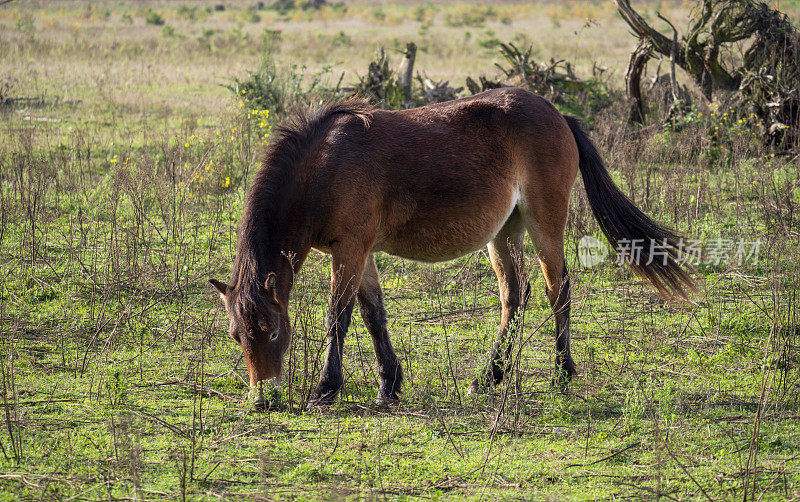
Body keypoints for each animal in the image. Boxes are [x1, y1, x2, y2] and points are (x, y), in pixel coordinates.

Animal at [211, 86, 692, 408]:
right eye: (237, 335)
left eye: (274, 332)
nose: (263, 399)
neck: (323, 168)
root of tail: (558, 116)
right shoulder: (360, 254)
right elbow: (373, 316)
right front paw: (389, 386)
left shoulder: (350, 250)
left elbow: (339, 318)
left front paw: (326, 389)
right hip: (504, 233)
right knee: (514, 296)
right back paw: (489, 377)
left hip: (545, 225)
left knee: (559, 289)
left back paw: (561, 372)